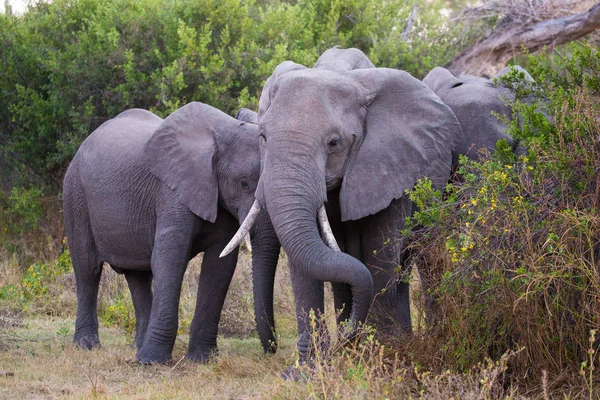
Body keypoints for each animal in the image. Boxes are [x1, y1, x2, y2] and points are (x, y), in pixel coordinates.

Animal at [64, 101, 280, 364]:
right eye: (244, 183)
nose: (271, 350)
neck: (221, 134)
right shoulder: (171, 191)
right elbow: (170, 258)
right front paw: (152, 362)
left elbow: (219, 266)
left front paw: (202, 359)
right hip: (75, 193)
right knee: (87, 269)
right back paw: (87, 346)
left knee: (138, 276)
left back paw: (138, 347)